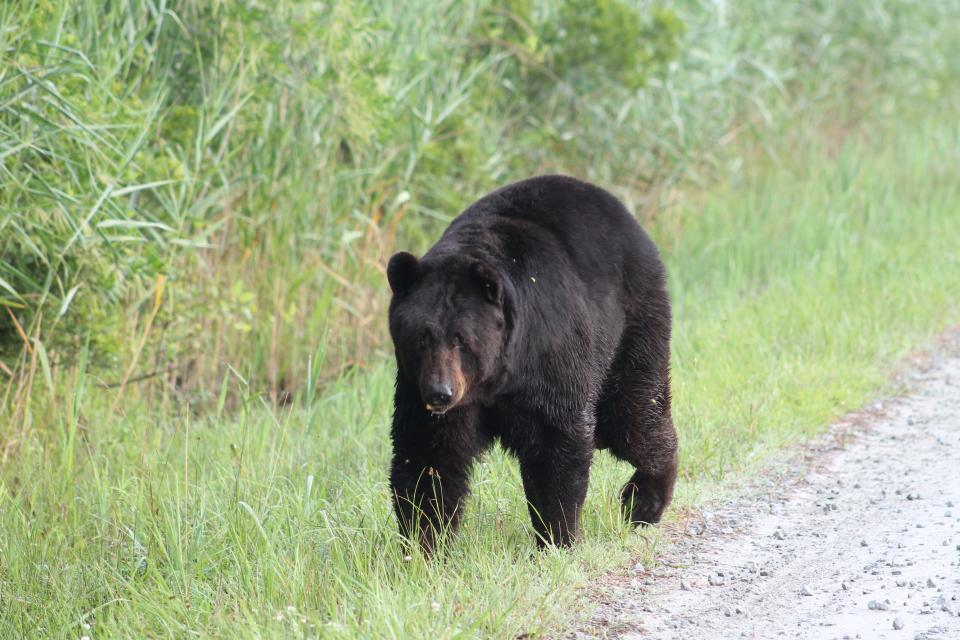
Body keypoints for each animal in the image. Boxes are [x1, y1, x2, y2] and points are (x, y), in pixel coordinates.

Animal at [386, 174, 680, 552]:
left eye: (460, 339)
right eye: (421, 338)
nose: (440, 393)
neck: (494, 379)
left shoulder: (547, 359)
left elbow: (554, 443)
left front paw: (559, 536)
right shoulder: (419, 389)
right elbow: (428, 456)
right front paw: (423, 544)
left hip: (631, 325)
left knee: (634, 415)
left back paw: (644, 501)